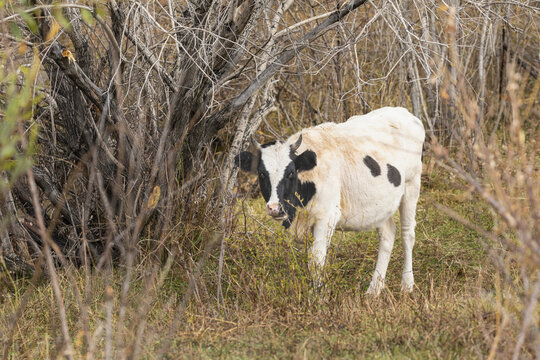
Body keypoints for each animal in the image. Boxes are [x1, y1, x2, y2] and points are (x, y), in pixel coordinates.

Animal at [236, 107, 426, 296]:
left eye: (290, 172)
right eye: (262, 174)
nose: (275, 208)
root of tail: (404, 112)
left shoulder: (327, 216)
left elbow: (316, 259)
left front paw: (318, 296)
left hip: (412, 185)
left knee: (407, 234)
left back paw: (407, 284)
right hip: (380, 204)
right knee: (388, 233)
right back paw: (374, 290)